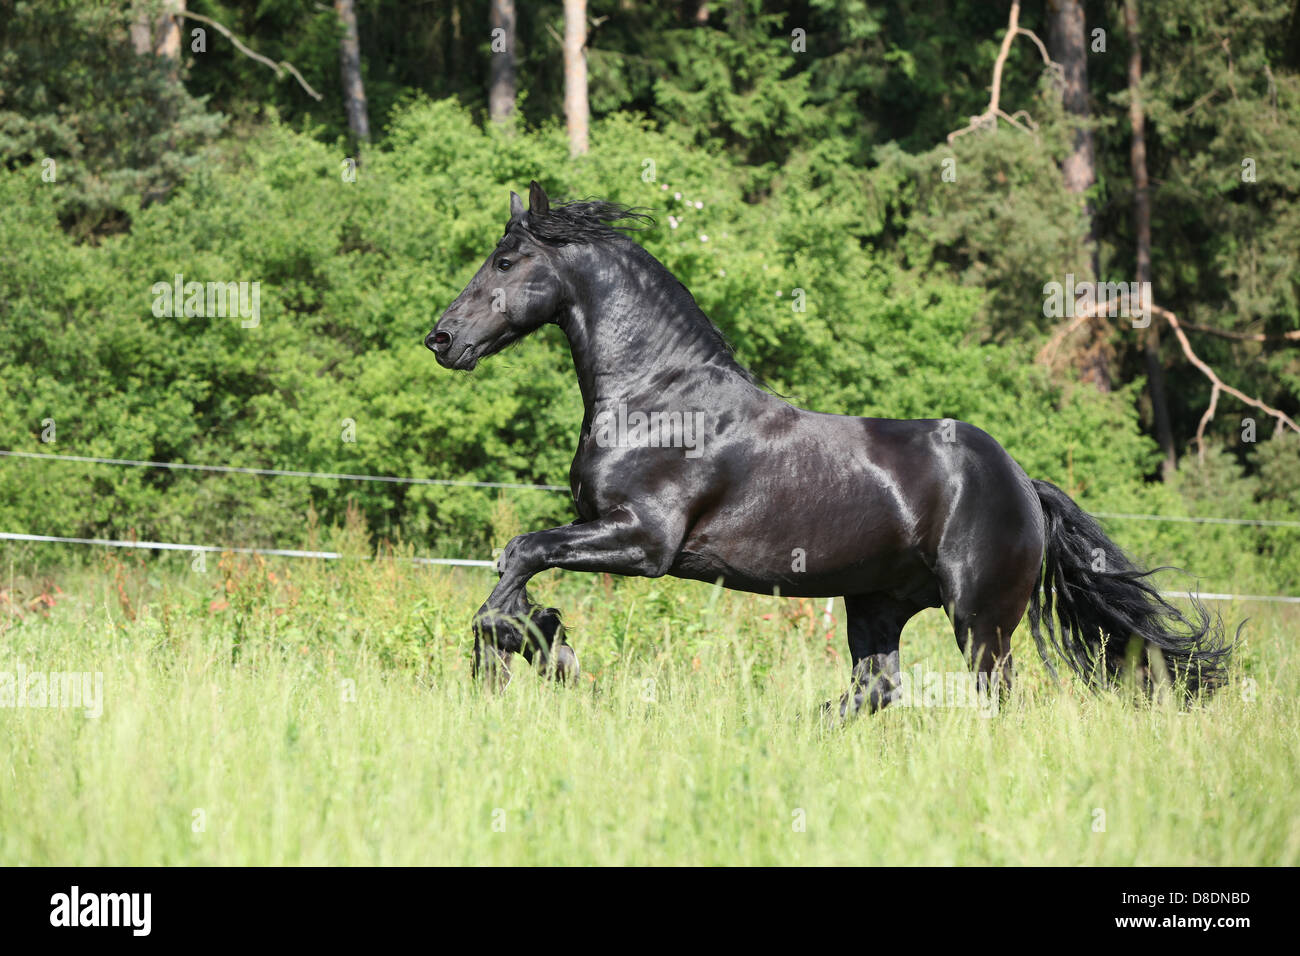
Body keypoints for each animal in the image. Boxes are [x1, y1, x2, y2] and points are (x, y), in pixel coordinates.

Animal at [425, 181, 1232, 716]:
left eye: (505, 262)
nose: (441, 338)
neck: (659, 400)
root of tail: (1023, 482)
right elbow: (515, 567)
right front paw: (535, 640)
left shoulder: (643, 541)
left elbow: (521, 556)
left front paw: (540, 648)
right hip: (877, 602)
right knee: (876, 689)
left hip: (980, 617)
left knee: (992, 695)